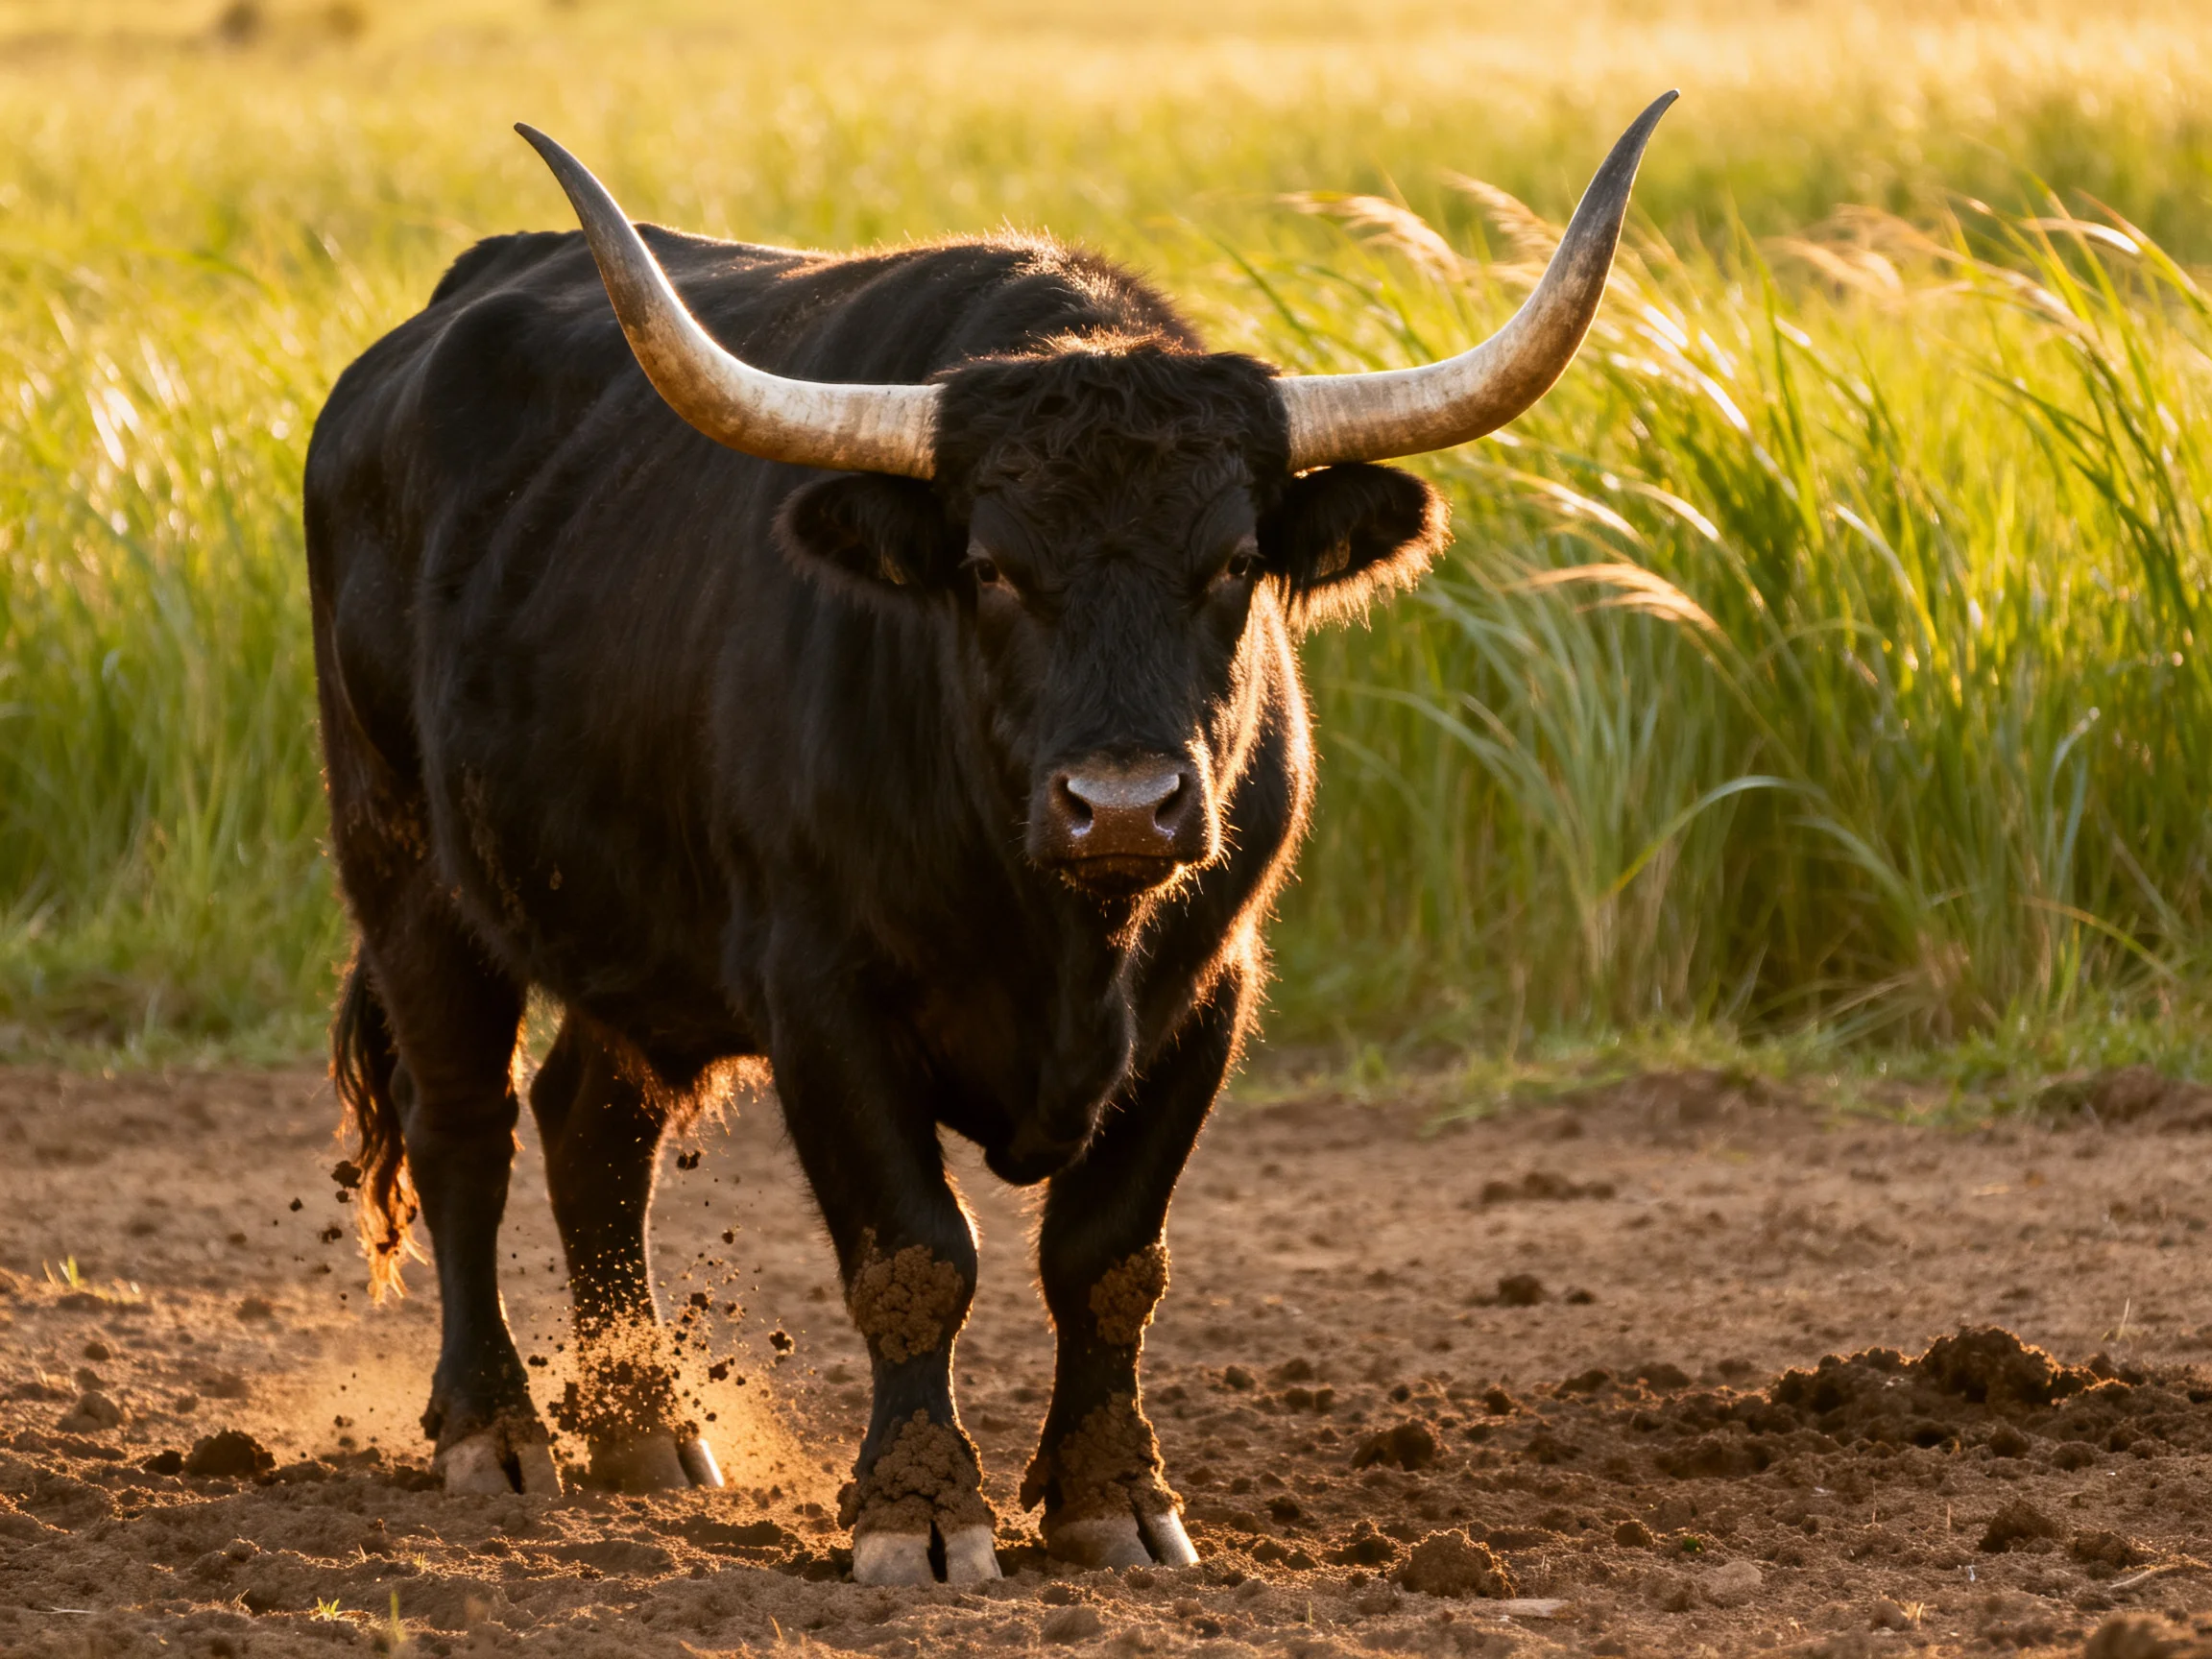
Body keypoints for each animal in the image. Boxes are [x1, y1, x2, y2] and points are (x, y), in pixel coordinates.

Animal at [303, 92, 1674, 1585]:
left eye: (1234, 563)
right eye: (990, 568)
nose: (1124, 804)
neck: (1062, 931)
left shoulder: (1211, 990)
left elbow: (1110, 1258)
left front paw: (1114, 1502)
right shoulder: (821, 994)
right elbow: (917, 1256)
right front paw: (921, 1513)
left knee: (589, 1134)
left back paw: (647, 1433)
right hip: (404, 868)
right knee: (465, 1129)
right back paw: (494, 1435)